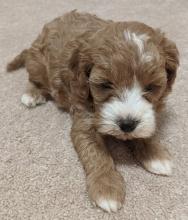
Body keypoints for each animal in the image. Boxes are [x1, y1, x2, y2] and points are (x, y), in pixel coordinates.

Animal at [6, 11, 178, 212]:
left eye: (151, 87)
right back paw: (32, 93)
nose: (127, 124)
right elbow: (96, 153)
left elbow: (147, 130)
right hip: (37, 64)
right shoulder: (84, 119)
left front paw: (156, 155)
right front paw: (106, 187)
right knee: (34, 78)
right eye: (105, 84)